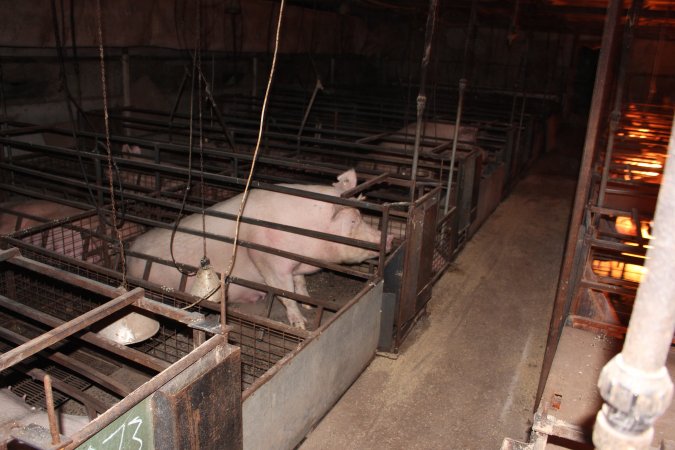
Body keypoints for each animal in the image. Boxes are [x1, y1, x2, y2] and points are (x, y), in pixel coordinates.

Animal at [125, 169, 396, 330]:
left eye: (360, 215)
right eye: (352, 221)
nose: (390, 238)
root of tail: (129, 254)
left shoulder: (296, 265)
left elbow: (300, 285)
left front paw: (309, 305)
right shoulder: (268, 261)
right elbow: (285, 294)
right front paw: (300, 324)